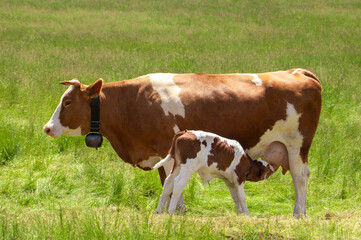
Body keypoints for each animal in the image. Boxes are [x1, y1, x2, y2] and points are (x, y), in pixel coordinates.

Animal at [152, 130, 286, 215]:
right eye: (267, 167)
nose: (274, 167)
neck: (246, 162)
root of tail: (185, 132)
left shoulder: (230, 181)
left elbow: (235, 197)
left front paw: (240, 212)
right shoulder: (239, 179)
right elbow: (242, 197)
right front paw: (247, 213)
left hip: (177, 165)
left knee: (168, 183)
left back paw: (159, 210)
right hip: (187, 167)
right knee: (178, 184)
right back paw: (171, 210)